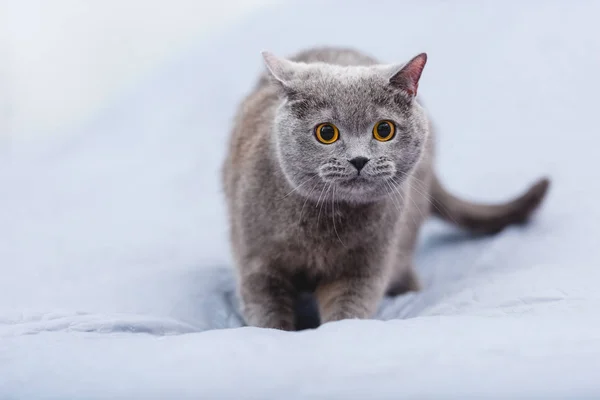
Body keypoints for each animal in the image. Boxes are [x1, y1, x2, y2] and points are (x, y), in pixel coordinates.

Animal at [220, 47, 548, 330]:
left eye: (384, 130)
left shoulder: (365, 266)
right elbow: (267, 313)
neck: (326, 224)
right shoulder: (257, 262)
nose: (359, 159)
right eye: (326, 132)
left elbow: (348, 310)